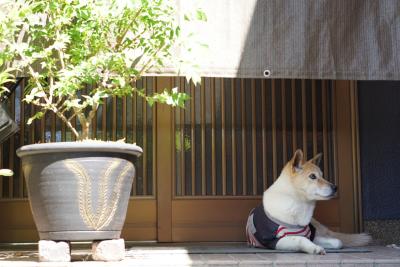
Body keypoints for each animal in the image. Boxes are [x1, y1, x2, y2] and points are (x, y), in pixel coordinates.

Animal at [245, 151, 374, 255]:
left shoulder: (312, 234)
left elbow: (338, 242)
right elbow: (300, 239)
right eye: (312, 176)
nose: (335, 187)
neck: (298, 203)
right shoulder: (275, 241)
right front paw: (315, 248)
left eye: (322, 176)